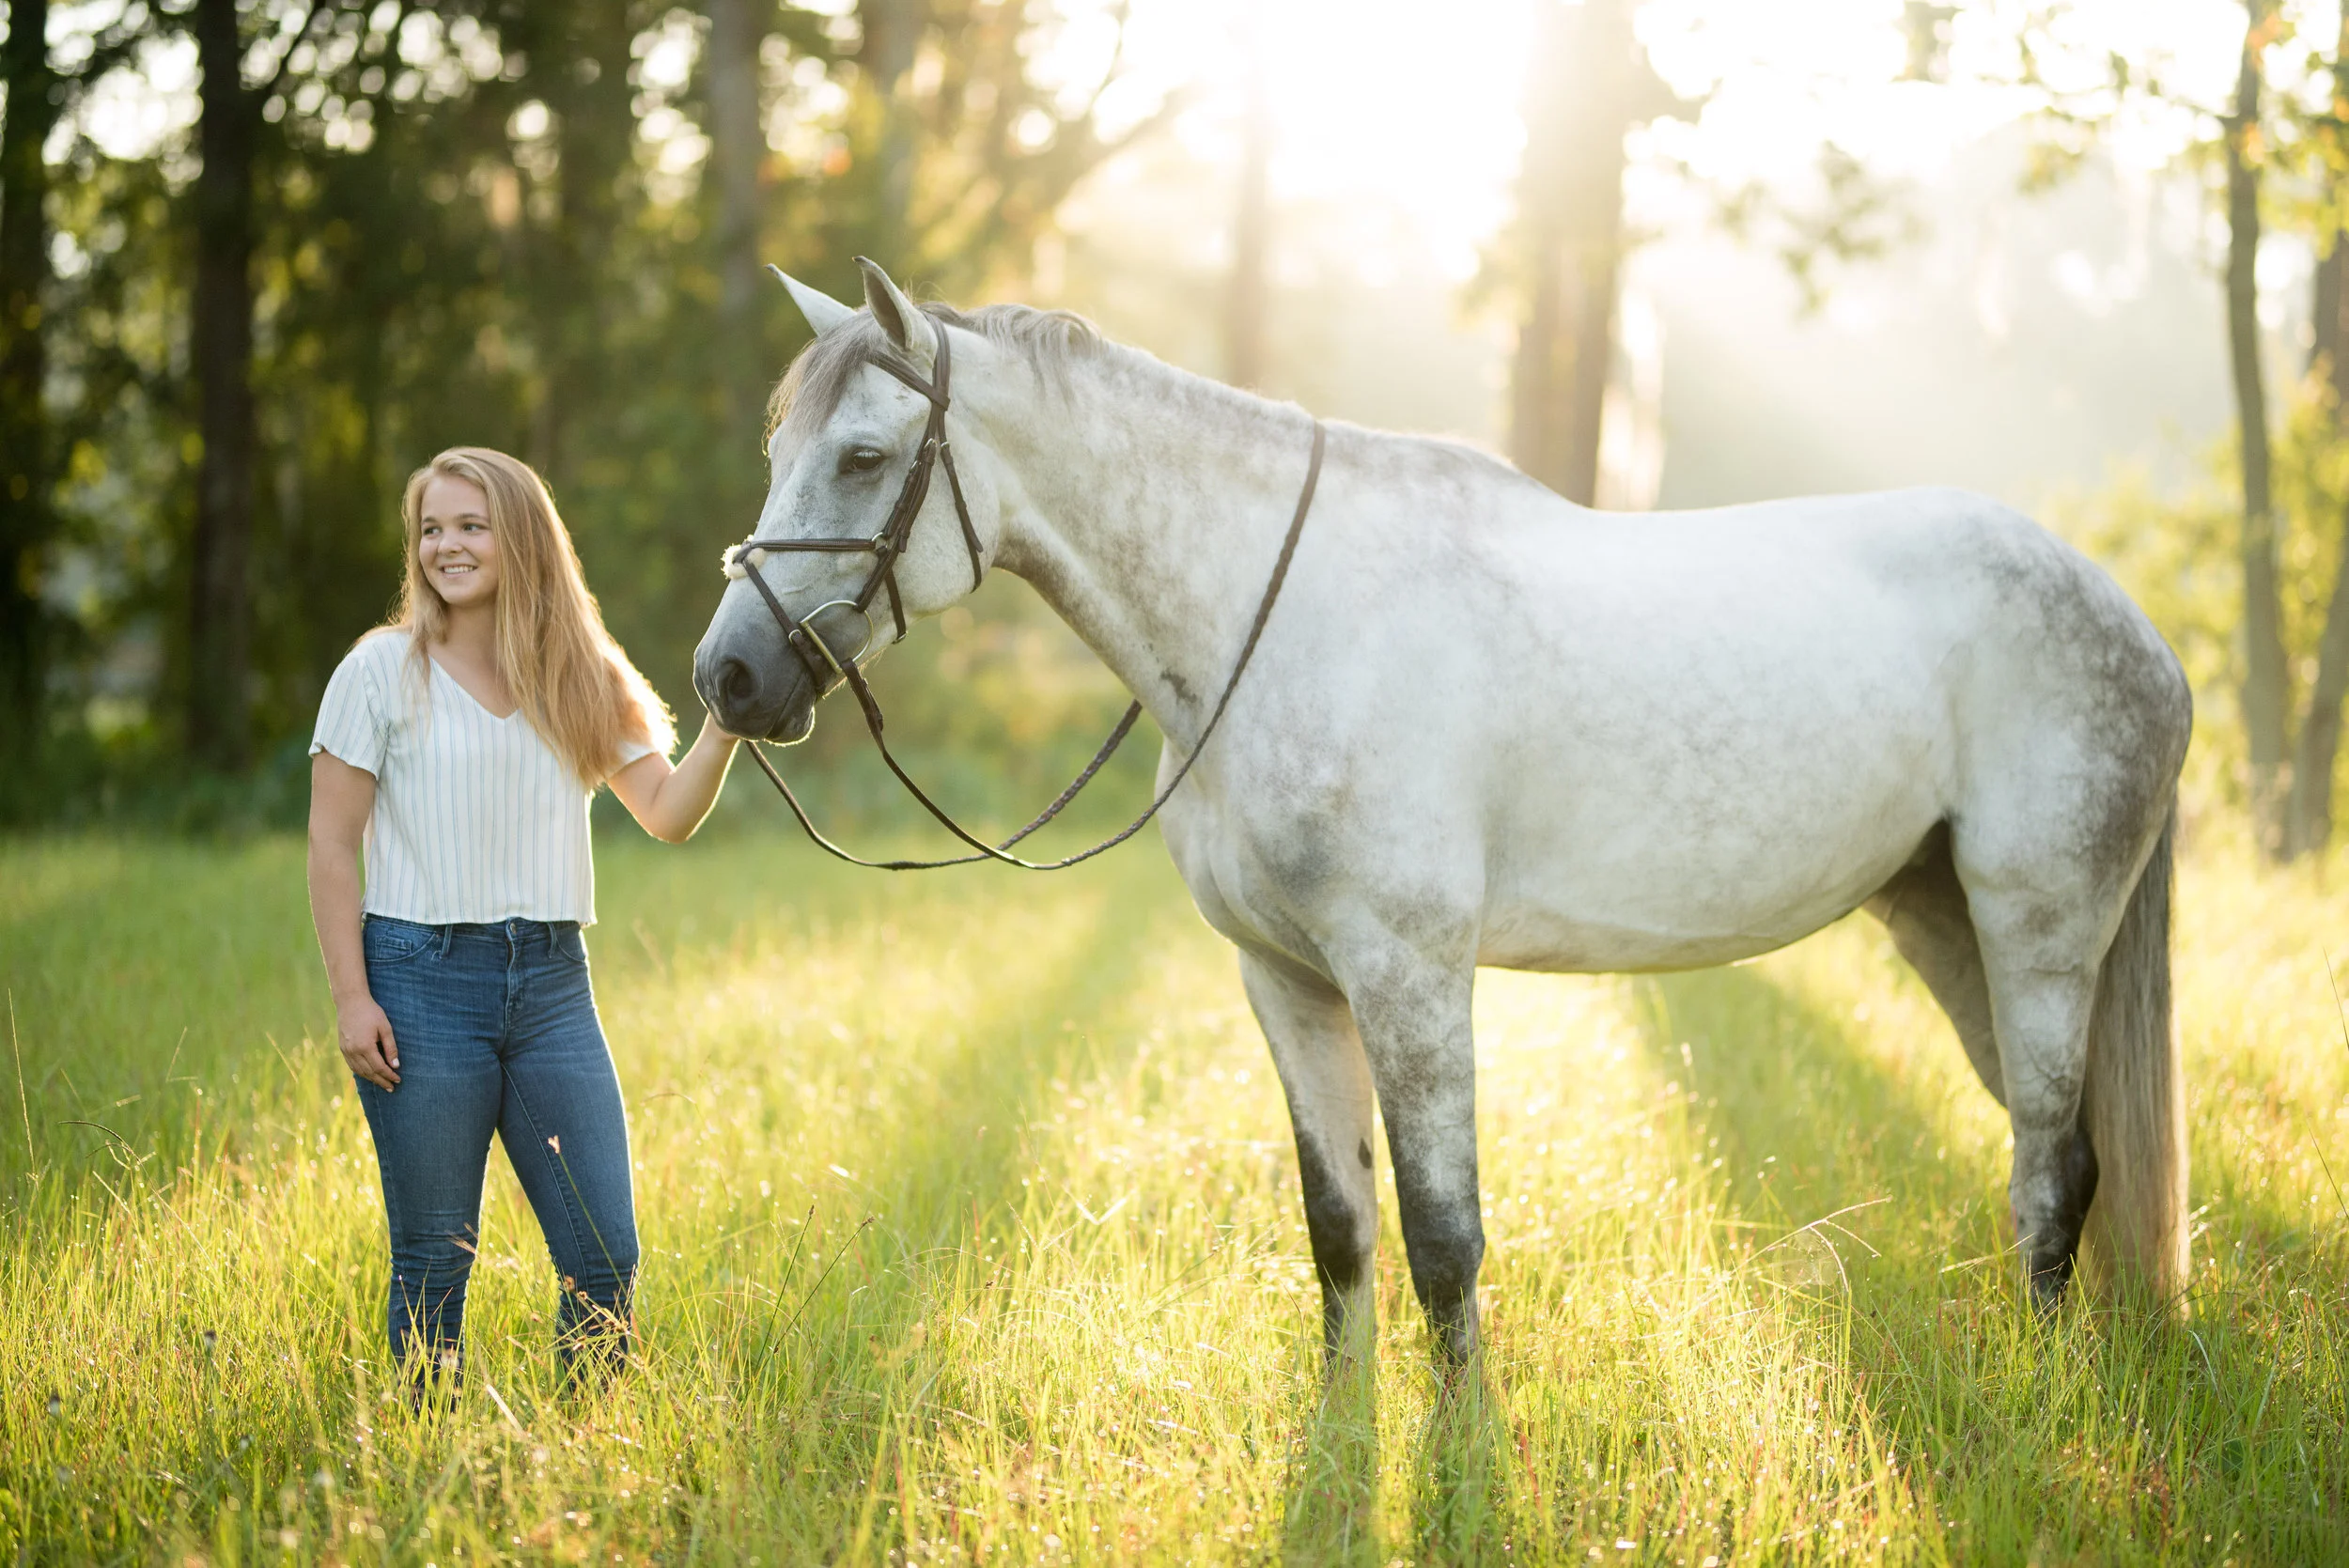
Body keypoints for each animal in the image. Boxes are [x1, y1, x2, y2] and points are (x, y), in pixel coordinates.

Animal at [693, 259, 2192, 1366]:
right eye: (781, 447)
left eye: (866, 456)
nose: (729, 676)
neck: (1277, 618)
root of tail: (2132, 620)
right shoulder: (1285, 979)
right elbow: (1341, 1232)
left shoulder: (1409, 975)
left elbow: (1442, 1238)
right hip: (1942, 924)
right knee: (2060, 1153)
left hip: (2039, 933)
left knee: (2053, 1171)